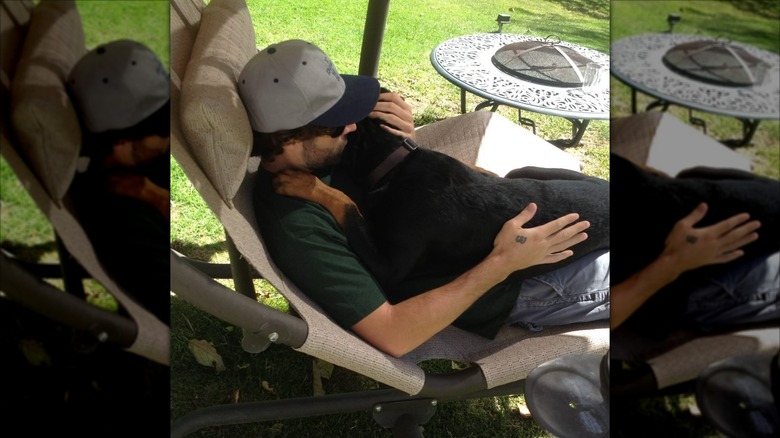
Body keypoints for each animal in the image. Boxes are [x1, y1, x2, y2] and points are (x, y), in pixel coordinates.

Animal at [274, 114, 608, 302]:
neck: (395, 166)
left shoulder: (390, 268)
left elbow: (347, 203)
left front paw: (300, 182)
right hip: (528, 170)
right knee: (507, 173)